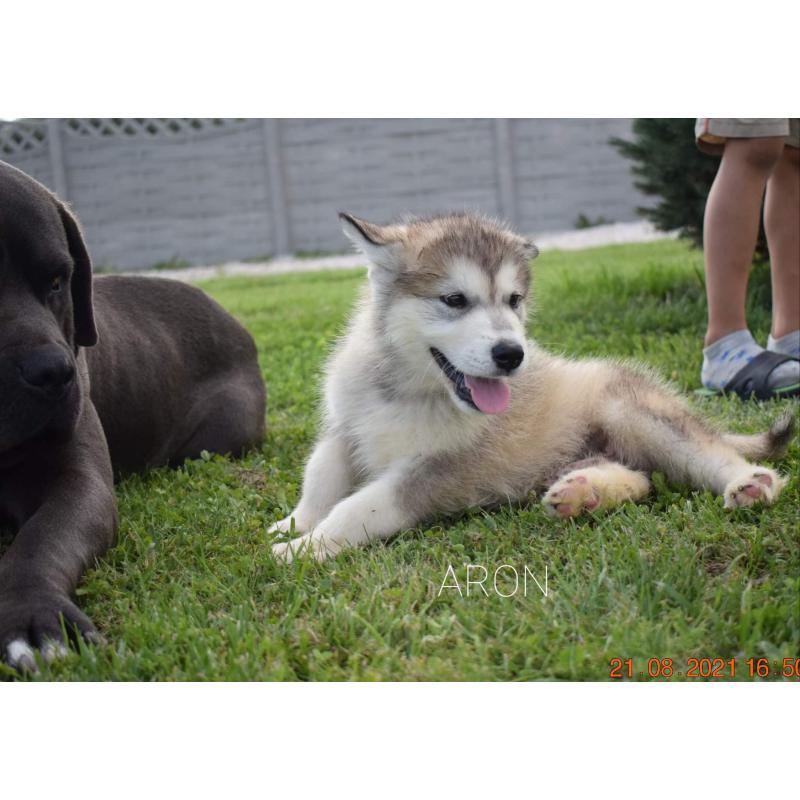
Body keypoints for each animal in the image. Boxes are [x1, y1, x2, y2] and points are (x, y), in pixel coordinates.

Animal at [274, 214, 792, 564]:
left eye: (514, 300)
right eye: (454, 299)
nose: (511, 354)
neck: (406, 389)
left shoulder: (438, 470)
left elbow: (359, 505)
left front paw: (306, 547)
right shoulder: (344, 429)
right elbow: (320, 477)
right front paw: (294, 524)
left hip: (632, 412)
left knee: (707, 455)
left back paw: (751, 483)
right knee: (641, 479)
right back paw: (586, 492)